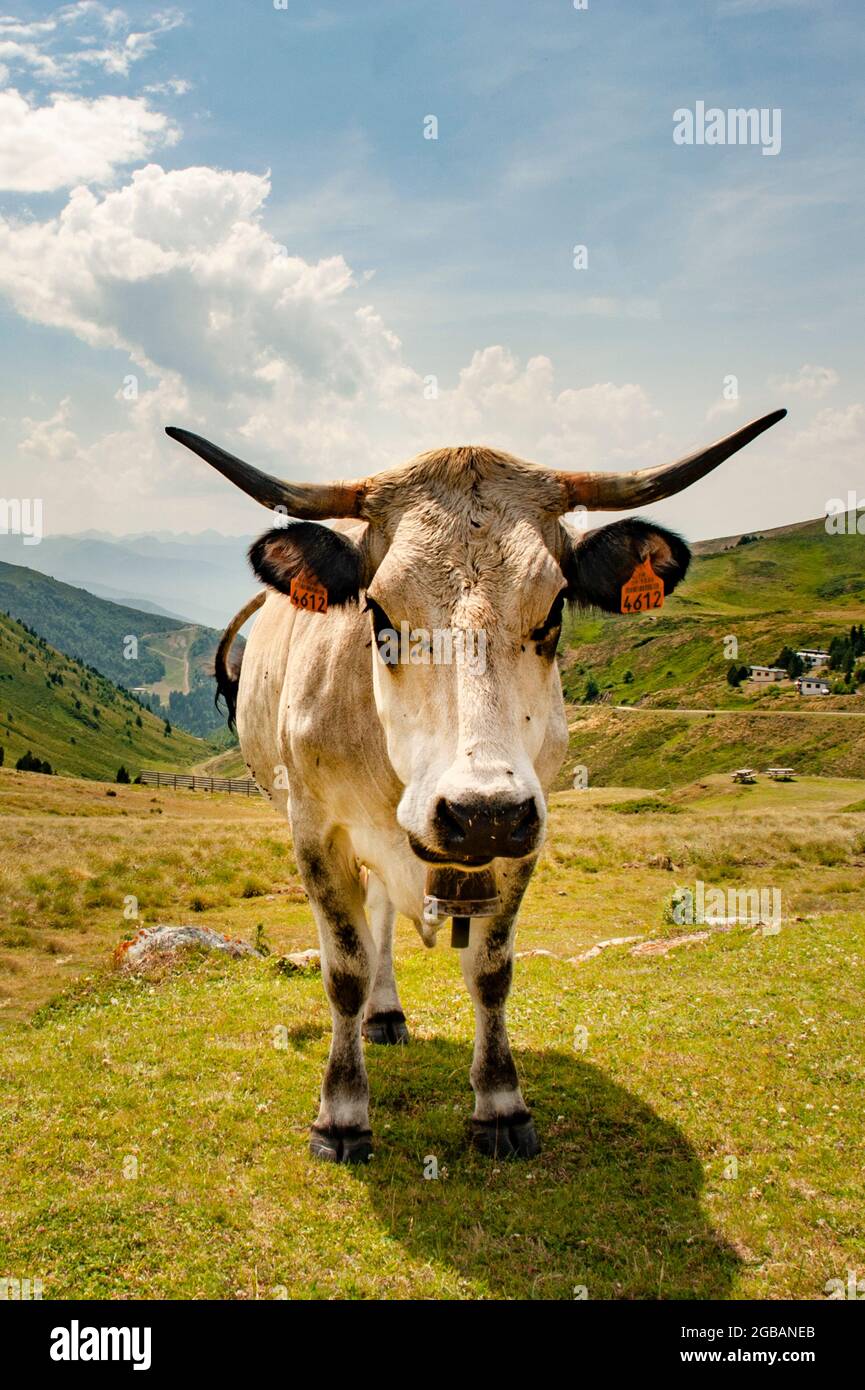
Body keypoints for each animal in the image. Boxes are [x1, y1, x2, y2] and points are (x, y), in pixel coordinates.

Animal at [167, 408, 784, 1162]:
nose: (479, 811)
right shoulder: (315, 831)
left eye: (553, 612)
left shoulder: (524, 831)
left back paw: (387, 1014)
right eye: (378, 614)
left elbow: (491, 970)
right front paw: (341, 1114)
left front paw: (500, 1104)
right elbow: (343, 969)